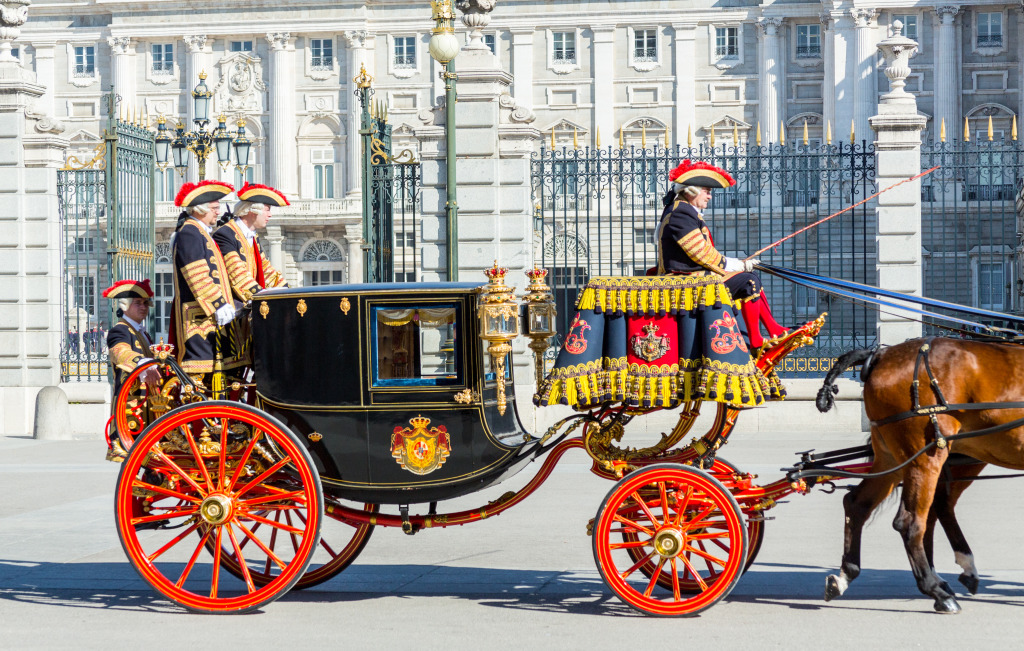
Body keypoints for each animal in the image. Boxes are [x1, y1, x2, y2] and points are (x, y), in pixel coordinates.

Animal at [811, 339, 1019, 614]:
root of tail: (881, 353)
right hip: (927, 456)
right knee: (912, 521)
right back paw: (938, 590)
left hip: (897, 458)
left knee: (859, 504)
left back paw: (845, 575)